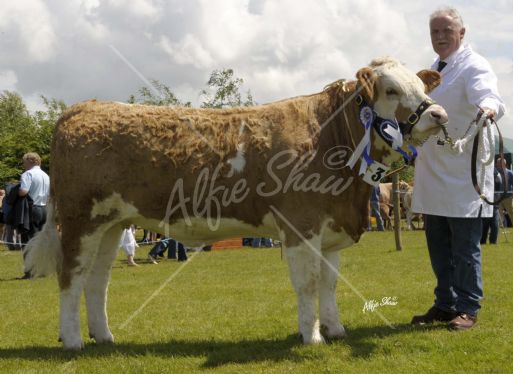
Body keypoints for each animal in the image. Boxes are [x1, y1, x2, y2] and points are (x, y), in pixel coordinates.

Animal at [26, 57, 446, 350]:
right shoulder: (301, 226)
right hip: (80, 220)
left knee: (97, 281)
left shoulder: (330, 230)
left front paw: (335, 329)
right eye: (391, 90)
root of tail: (86, 107)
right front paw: (312, 337)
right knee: (72, 277)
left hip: (112, 223)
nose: (438, 114)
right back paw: (74, 341)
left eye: (419, 85)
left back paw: (104, 336)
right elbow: (308, 284)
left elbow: (329, 283)